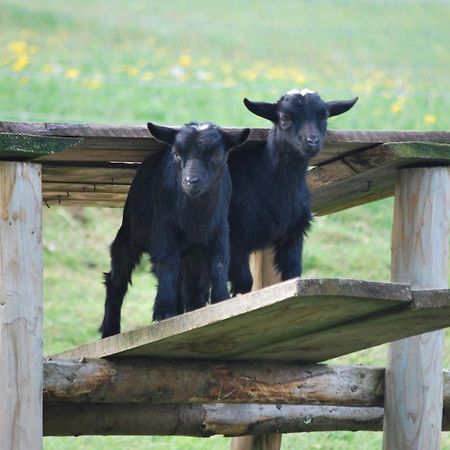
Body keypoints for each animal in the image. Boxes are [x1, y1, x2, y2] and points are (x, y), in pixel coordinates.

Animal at [99, 121, 251, 336]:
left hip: (192, 255)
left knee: (191, 285)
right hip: (129, 234)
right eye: (177, 154)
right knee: (117, 280)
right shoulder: (164, 230)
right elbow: (167, 266)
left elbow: (219, 264)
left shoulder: (220, 231)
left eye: (217, 156)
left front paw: (221, 301)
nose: (190, 181)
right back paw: (110, 330)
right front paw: (164, 312)